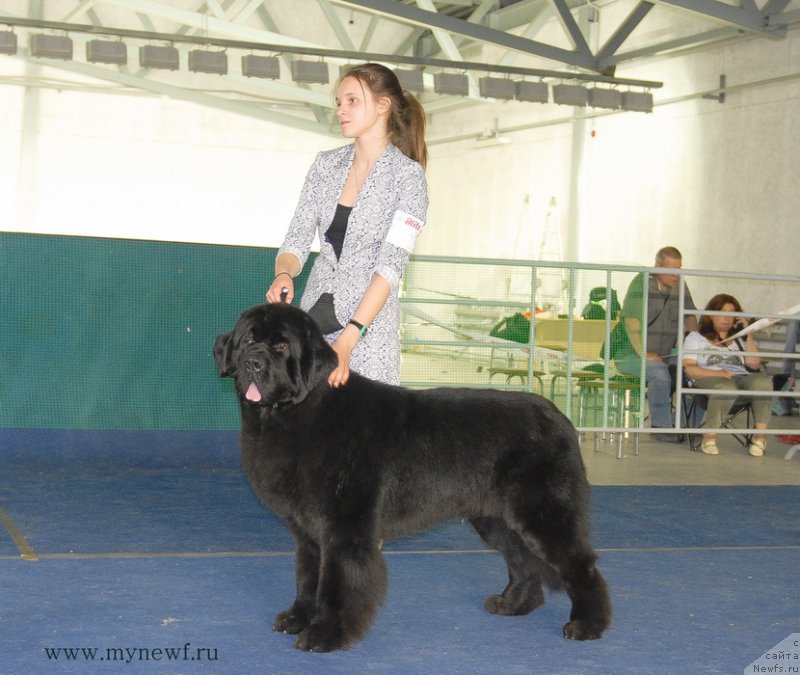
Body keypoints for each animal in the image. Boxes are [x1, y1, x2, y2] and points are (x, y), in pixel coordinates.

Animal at [212, 304, 612, 652]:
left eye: (281, 346)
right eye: (248, 340)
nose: (252, 362)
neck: (300, 413)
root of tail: (561, 418)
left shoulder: (344, 528)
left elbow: (337, 582)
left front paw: (325, 634)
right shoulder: (308, 530)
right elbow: (308, 578)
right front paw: (297, 618)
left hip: (543, 513)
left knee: (579, 564)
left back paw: (587, 625)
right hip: (497, 518)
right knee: (522, 560)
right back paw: (512, 604)